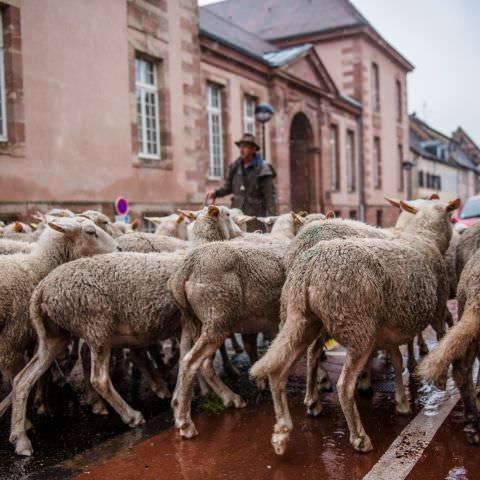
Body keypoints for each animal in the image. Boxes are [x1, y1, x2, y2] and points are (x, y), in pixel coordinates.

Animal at [0, 216, 119, 422]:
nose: (119, 247)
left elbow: (42, 370)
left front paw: (42, 401)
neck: (38, 268)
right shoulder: (11, 342)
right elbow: (18, 375)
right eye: (90, 232)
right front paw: (27, 419)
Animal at [249, 199, 460, 454]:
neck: (423, 236)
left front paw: (401, 400)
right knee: (343, 385)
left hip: (302, 321)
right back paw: (359, 437)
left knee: (282, 370)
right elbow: (440, 337)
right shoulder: (435, 309)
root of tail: (310, 266)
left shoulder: (388, 326)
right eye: (449, 215)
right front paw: (439, 380)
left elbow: (397, 361)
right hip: (357, 326)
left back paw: (284, 428)